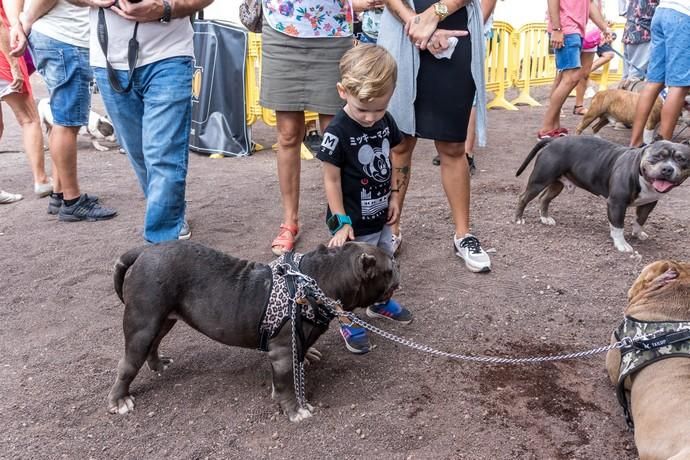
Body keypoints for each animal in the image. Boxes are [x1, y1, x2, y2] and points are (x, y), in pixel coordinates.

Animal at [108, 239, 398, 422]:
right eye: (390, 267)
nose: (398, 272)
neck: (317, 279)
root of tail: (145, 251)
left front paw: (308, 355)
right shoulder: (282, 353)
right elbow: (286, 384)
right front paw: (295, 410)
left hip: (163, 317)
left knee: (155, 342)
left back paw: (158, 364)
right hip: (143, 321)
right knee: (128, 363)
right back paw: (120, 399)